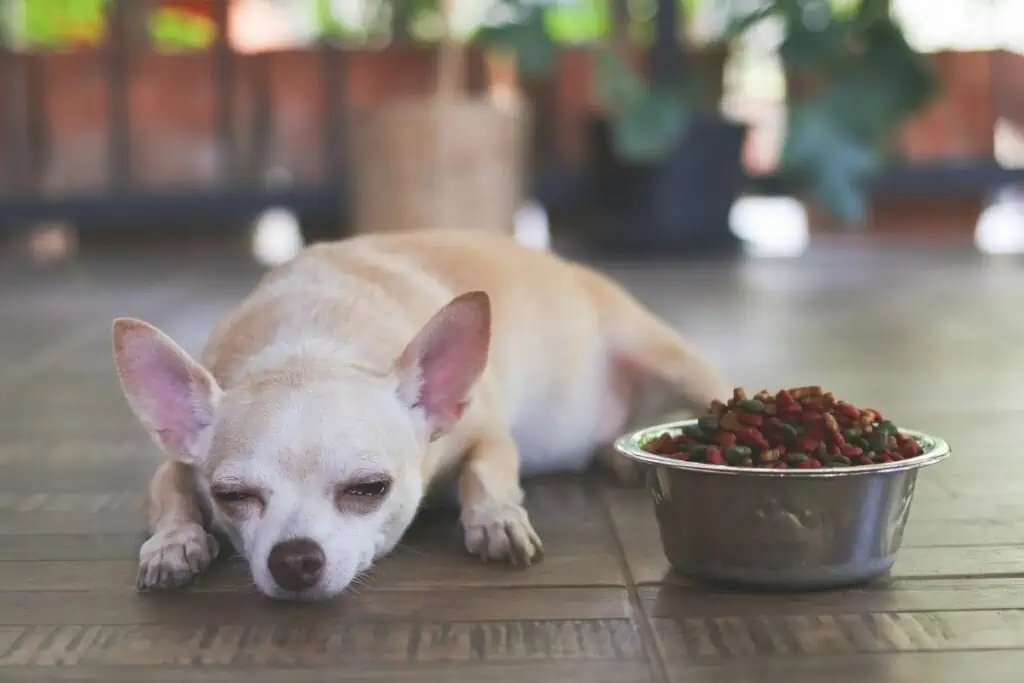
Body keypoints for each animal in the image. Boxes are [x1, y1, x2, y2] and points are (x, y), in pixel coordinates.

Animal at [112, 228, 729, 598]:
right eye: (231, 496)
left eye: (369, 489)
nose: (294, 559)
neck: (309, 346)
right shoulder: (176, 462)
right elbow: (168, 493)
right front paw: (174, 543)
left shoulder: (485, 434)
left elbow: (485, 473)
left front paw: (495, 519)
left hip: (663, 354)